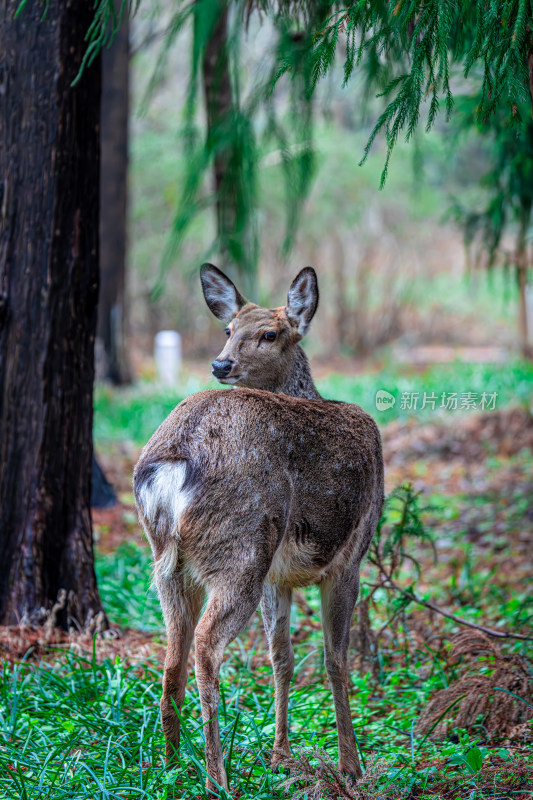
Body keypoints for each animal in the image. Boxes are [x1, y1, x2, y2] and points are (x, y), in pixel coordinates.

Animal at [132, 264, 382, 792]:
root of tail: (172, 465)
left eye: (269, 334)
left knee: (171, 659)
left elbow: (281, 657)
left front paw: (280, 755)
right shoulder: (350, 556)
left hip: (171, 566)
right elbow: (335, 659)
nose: (220, 364)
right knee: (205, 647)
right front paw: (351, 767)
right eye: (228, 330)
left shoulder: (277, 576)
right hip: (241, 548)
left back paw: (170, 767)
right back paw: (216, 778)